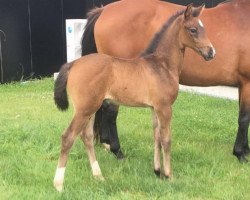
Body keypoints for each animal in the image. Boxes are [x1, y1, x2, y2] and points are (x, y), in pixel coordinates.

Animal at [52, 4, 215, 191]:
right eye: (193, 29)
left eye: (204, 27)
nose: (211, 52)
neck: (162, 65)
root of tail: (73, 64)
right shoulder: (165, 107)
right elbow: (166, 140)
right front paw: (169, 175)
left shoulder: (154, 108)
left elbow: (156, 137)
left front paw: (157, 171)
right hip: (84, 109)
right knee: (68, 137)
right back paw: (59, 184)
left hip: (90, 108)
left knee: (86, 137)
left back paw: (98, 176)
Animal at [82, 0, 250, 162]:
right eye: (193, 30)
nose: (211, 52)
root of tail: (104, 10)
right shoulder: (247, 82)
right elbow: (244, 118)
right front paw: (240, 154)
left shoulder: (242, 84)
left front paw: (245, 150)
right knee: (111, 111)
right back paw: (118, 152)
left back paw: (106, 143)